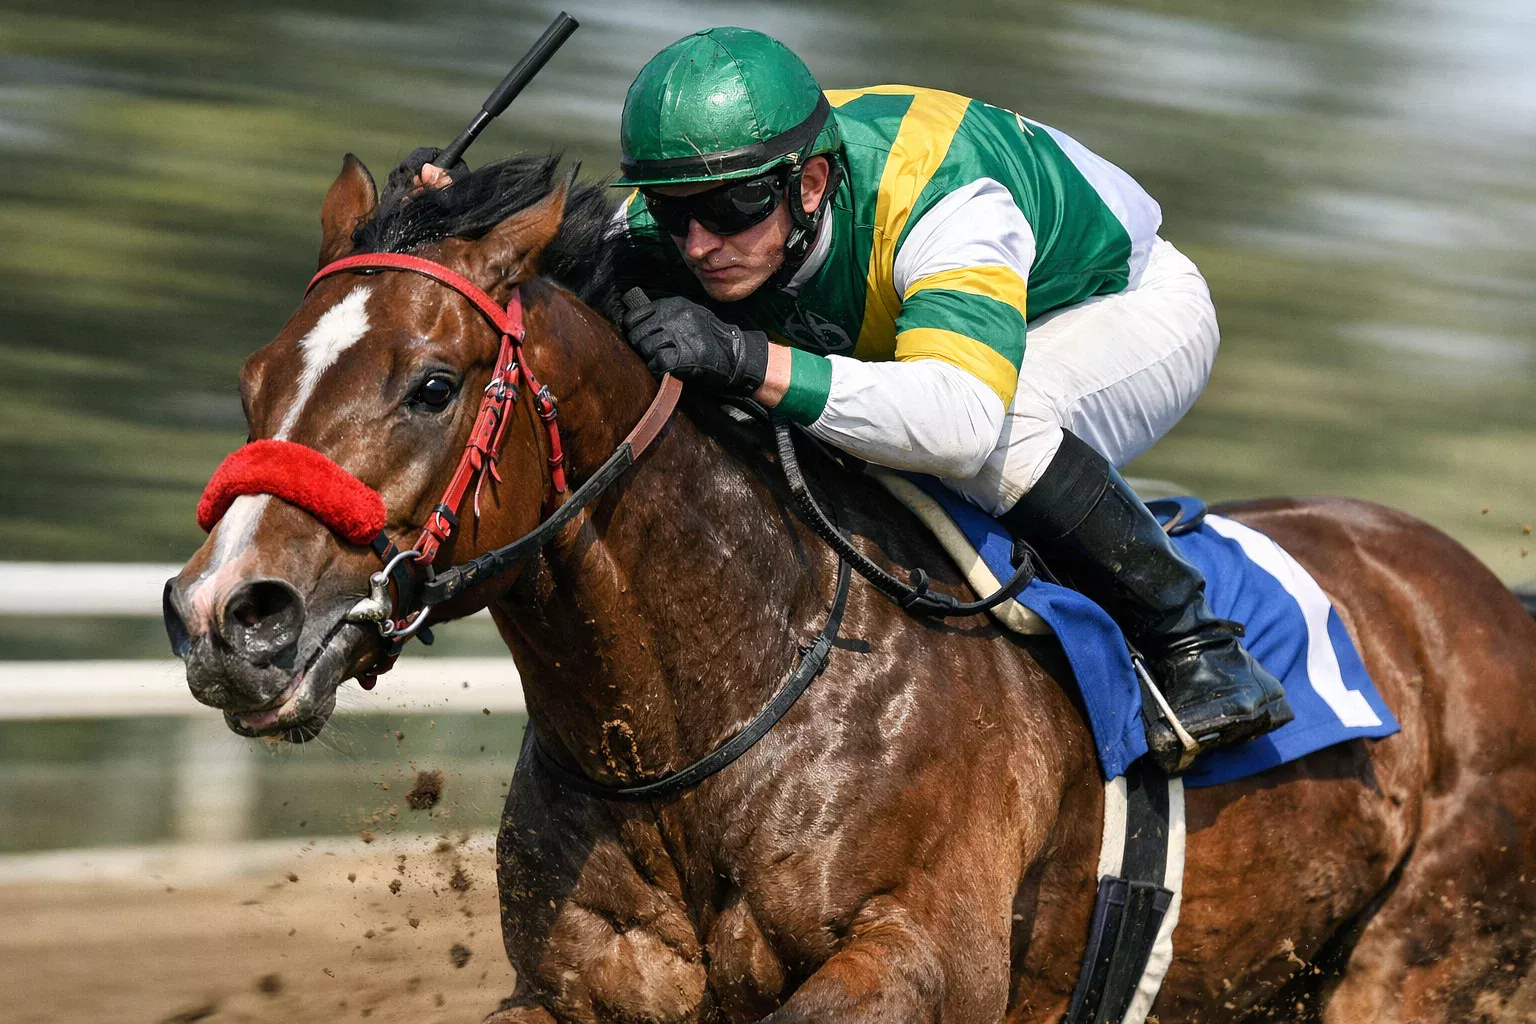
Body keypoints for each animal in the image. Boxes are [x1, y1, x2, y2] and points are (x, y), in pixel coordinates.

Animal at [164, 153, 1536, 1023]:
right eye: (253, 378)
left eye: (433, 386)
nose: (229, 615)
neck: (726, 696)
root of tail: (1488, 602)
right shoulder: (578, 985)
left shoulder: (921, 958)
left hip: (1413, 963)